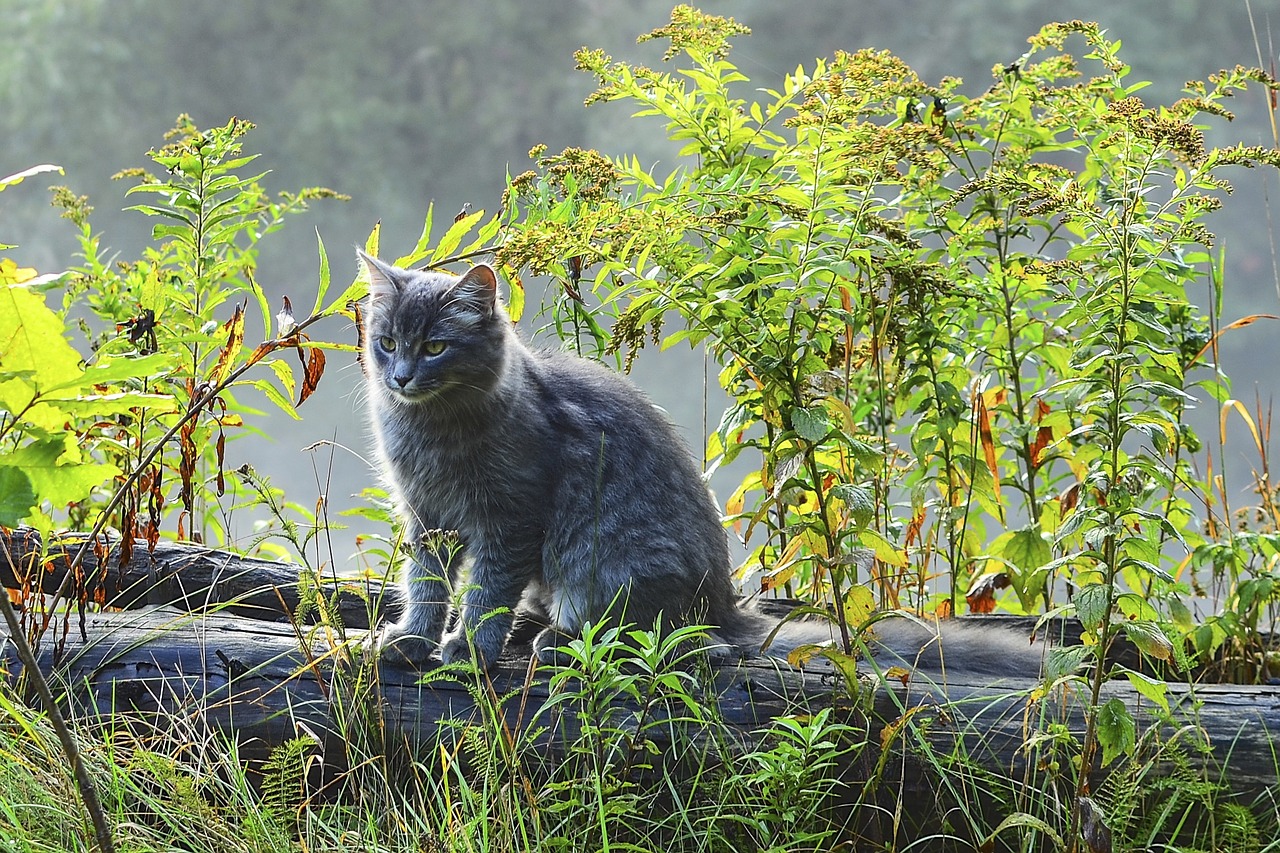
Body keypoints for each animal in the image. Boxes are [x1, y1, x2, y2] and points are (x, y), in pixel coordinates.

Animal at [358, 249, 1039, 676]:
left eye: (436, 347)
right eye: (387, 341)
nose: (400, 376)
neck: (432, 430)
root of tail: (726, 609)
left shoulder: (511, 517)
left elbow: (485, 591)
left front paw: (469, 648)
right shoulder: (426, 517)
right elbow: (425, 584)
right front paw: (413, 638)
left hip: (609, 565)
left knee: (666, 641)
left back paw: (557, 641)